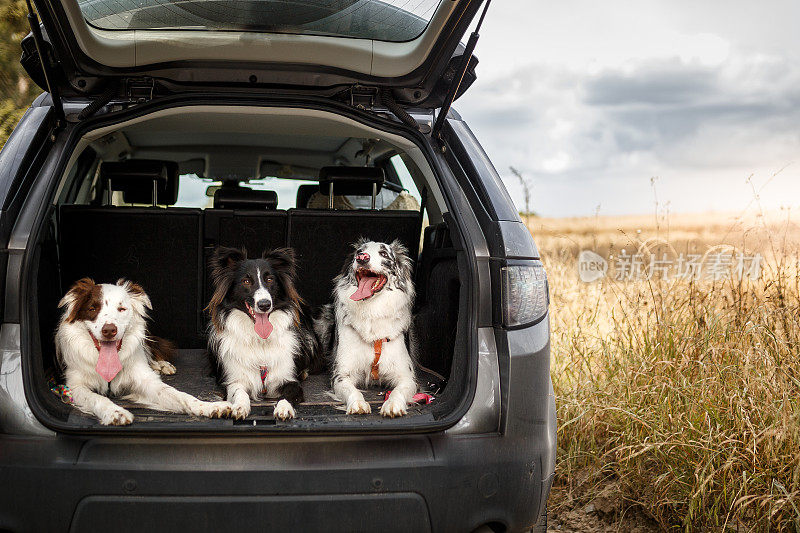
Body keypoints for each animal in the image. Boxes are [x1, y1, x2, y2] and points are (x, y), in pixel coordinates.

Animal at [54, 278, 231, 424]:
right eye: (92, 309)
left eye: (122, 309)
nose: (109, 330)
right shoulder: (75, 386)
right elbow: (96, 398)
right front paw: (115, 412)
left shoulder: (145, 380)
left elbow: (180, 395)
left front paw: (209, 406)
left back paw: (162, 365)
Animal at [205, 248, 320, 420]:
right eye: (246, 281)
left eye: (270, 279)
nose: (264, 304)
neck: (259, 340)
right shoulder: (234, 380)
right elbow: (239, 392)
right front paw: (240, 407)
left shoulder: (289, 379)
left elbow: (288, 394)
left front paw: (284, 408)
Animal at [316, 239, 418, 418]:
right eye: (359, 251)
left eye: (384, 253)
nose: (362, 257)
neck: (372, 310)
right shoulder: (341, 375)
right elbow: (352, 390)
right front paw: (358, 404)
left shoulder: (407, 376)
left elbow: (399, 390)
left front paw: (393, 405)